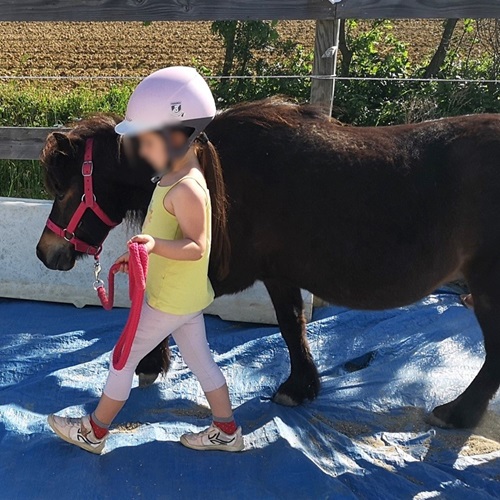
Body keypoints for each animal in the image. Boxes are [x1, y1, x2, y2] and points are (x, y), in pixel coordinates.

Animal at [37, 99, 500, 428]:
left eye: (64, 190)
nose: (45, 253)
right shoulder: (280, 275)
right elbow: (293, 324)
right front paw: (303, 385)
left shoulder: (223, 269)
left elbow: (157, 303)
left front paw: (149, 362)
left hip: (488, 290)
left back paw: (456, 413)